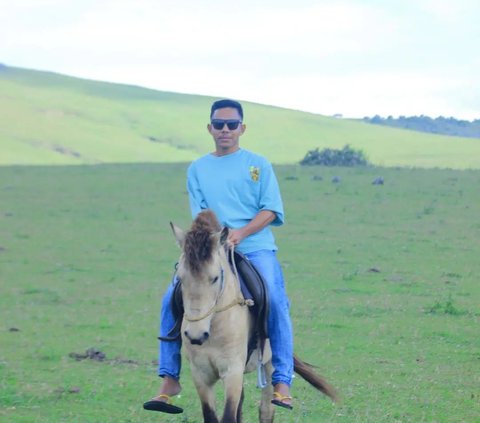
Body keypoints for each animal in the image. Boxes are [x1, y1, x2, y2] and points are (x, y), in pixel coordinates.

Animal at [171, 211, 336, 423]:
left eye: (215, 278)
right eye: (180, 277)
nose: (195, 335)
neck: (214, 328)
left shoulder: (232, 371)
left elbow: (228, 416)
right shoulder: (201, 375)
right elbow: (212, 416)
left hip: (270, 365)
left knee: (266, 410)